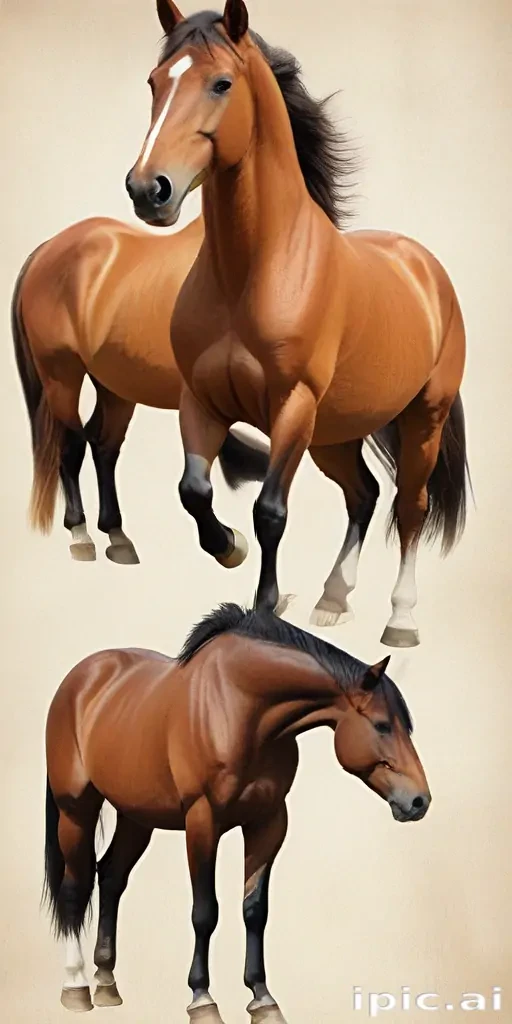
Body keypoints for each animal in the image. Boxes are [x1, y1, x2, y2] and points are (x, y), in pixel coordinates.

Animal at [12, 213, 269, 564]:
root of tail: (44, 251)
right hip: (61, 376)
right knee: (71, 444)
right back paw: (80, 533)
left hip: (115, 385)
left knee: (104, 444)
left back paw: (116, 534)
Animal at [44, 603, 430, 1022]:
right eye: (382, 725)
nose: (419, 801)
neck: (240, 709)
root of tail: (80, 678)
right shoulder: (202, 822)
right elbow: (205, 911)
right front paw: (202, 998)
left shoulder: (269, 822)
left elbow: (254, 909)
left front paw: (262, 997)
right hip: (75, 810)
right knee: (74, 888)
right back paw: (76, 987)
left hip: (136, 816)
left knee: (111, 877)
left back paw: (106, 982)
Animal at [126, 0, 471, 648]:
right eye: (155, 83)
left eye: (221, 83)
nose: (147, 190)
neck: (251, 273)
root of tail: (424, 267)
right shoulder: (200, 401)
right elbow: (194, 490)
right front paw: (229, 548)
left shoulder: (292, 405)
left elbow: (270, 510)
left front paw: (263, 607)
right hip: (334, 433)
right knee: (363, 494)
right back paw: (332, 600)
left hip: (421, 420)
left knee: (409, 507)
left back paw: (401, 622)